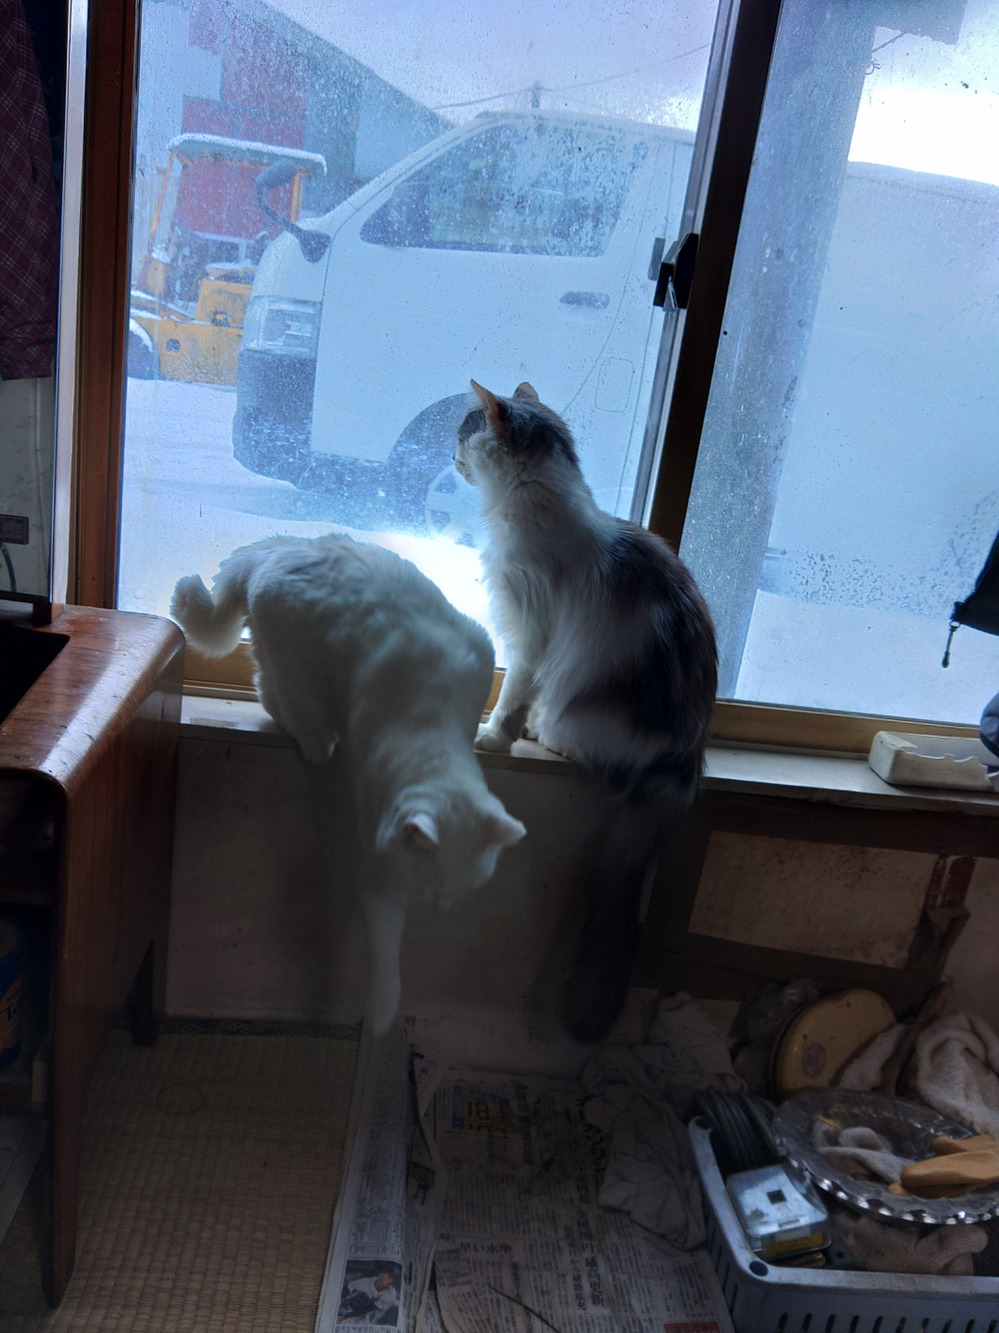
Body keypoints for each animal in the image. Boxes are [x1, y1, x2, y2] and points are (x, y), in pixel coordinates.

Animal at [170, 532, 525, 1037]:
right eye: (427, 883)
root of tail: (268, 552)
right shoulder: (379, 869)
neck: (430, 720)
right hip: (298, 672)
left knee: (266, 686)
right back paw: (317, 743)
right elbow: (386, 958)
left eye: (464, 889)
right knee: (276, 697)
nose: (441, 904)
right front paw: (379, 1018)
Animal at [454, 381, 717, 1043]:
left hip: (581, 707)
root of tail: (687, 757)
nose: (449, 456)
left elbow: (513, 690)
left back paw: (547, 735)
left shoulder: (531, 634)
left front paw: (493, 735)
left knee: (595, 755)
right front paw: (504, 730)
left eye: (462, 431)